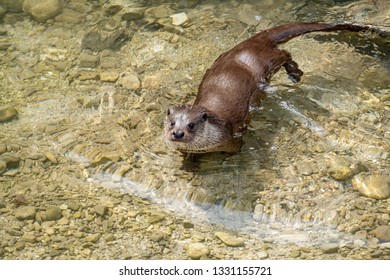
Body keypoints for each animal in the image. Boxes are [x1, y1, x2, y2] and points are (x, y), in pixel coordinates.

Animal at [165, 22, 366, 155]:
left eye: (191, 125)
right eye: (172, 122)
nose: (177, 133)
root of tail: (251, 42)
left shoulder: (233, 139)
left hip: (266, 61)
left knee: (285, 53)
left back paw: (295, 74)